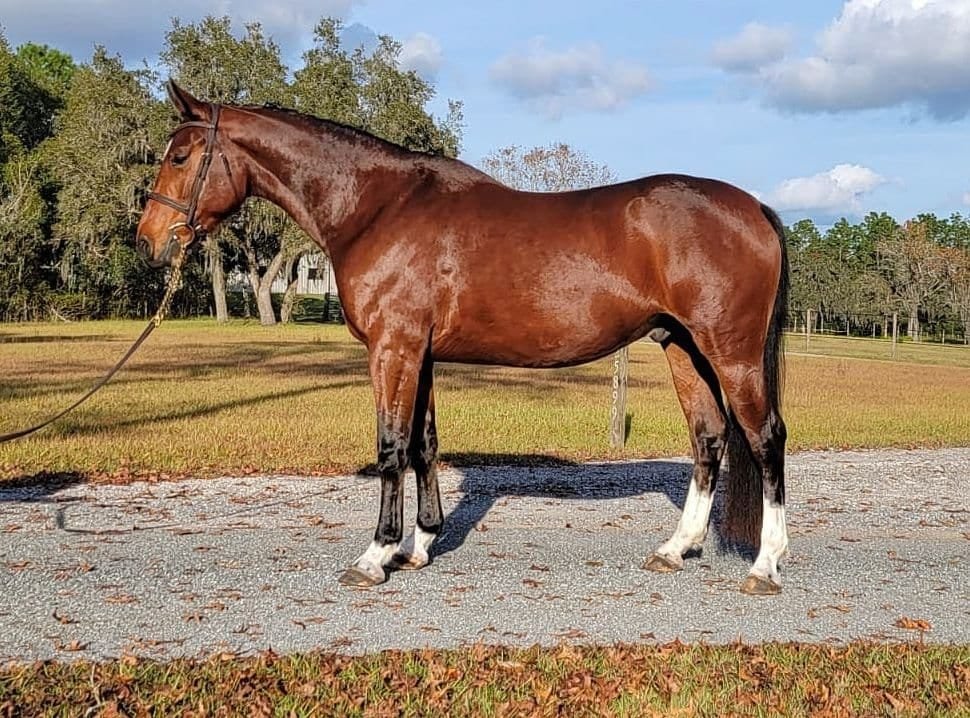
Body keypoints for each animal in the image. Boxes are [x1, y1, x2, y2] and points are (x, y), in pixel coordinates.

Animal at [137, 81, 790, 596]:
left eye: (181, 155)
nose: (150, 239)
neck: (377, 208)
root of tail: (753, 207)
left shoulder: (393, 349)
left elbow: (391, 447)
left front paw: (375, 555)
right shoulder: (418, 354)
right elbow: (423, 444)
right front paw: (419, 545)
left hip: (730, 351)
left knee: (765, 437)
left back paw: (765, 565)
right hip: (683, 347)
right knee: (709, 438)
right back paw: (674, 549)